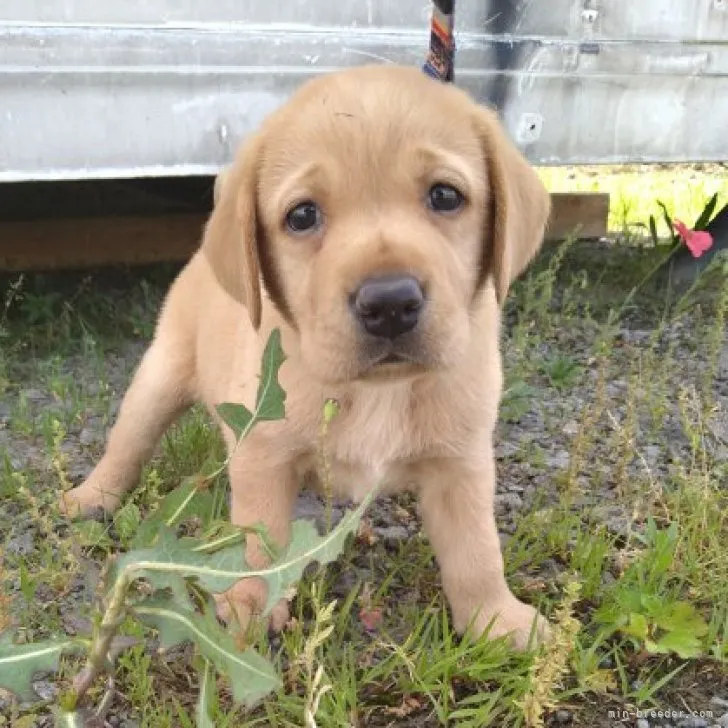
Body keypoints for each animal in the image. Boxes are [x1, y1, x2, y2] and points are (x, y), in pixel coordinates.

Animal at [64, 64, 552, 648]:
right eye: (302, 215)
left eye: (445, 195)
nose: (389, 303)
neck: (378, 390)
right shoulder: (262, 456)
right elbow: (260, 543)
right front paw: (250, 605)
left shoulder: (463, 461)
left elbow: (477, 547)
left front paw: (497, 619)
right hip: (159, 378)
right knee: (128, 443)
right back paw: (92, 496)